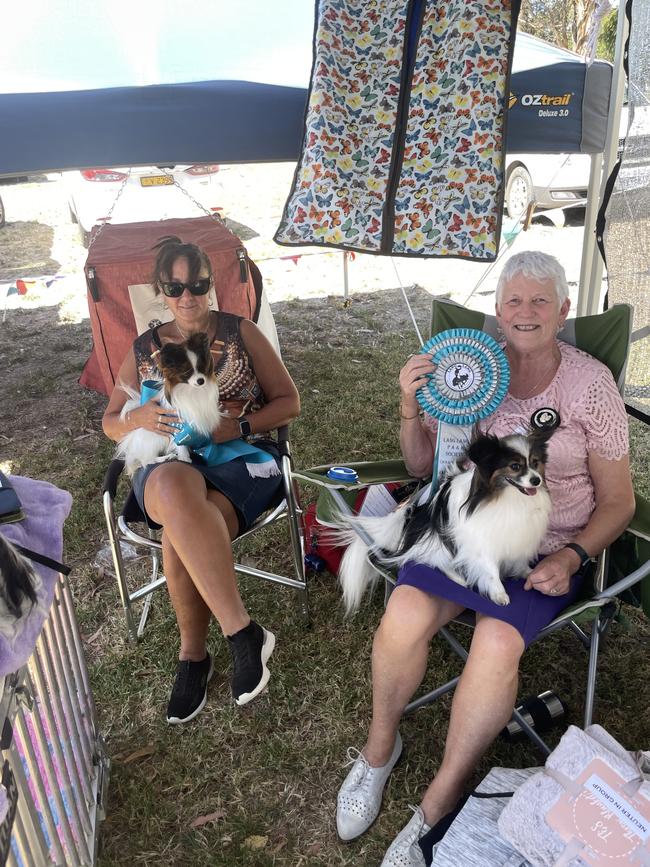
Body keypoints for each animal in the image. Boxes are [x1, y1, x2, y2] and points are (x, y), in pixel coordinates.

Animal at [117, 332, 224, 478]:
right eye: (187, 372)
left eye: (201, 368)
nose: (201, 381)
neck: (192, 391)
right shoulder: (177, 427)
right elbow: (180, 445)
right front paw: (185, 458)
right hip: (156, 439)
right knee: (146, 460)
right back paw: (165, 458)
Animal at [334, 430, 552, 612]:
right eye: (515, 467)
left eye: (535, 463)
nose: (536, 480)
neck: (508, 497)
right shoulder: (482, 544)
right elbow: (491, 571)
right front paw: (499, 594)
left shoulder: (518, 538)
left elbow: (520, 561)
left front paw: (530, 573)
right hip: (437, 541)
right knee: (430, 559)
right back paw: (458, 578)